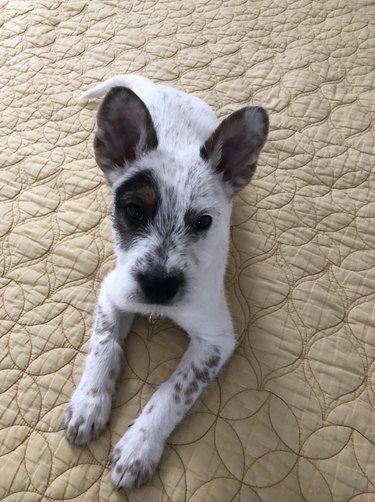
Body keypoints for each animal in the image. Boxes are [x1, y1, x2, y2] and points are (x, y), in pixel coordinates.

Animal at [65, 74, 270, 490]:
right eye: (132, 211)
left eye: (203, 222)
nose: (157, 287)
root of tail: (153, 83)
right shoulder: (113, 291)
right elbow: (105, 344)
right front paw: (90, 402)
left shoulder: (216, 339)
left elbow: (173, 390)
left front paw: (138, 448)